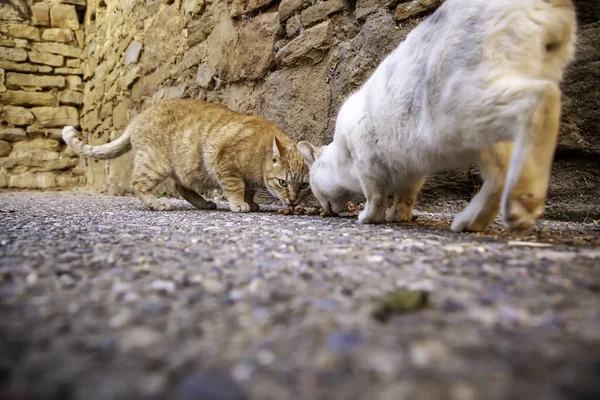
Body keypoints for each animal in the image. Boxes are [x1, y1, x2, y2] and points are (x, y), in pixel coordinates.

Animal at [63, 99, 312, 212]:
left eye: (303, 186)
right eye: (283, 182)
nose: (292, 201)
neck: (260, 155)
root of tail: (137, 118)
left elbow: (249, 190)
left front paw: (250, 202)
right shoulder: (227, 167)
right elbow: (236, 188)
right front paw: (240, 204)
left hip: (188, 168)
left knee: (181, 187)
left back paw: (203, 203)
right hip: (156, 164)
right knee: (138, 184)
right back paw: (156, 204)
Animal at [300, 0, 576, 231]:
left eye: (311, 185)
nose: (323, 208)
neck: (341, 159)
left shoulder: (367, 162)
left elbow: (375, 196)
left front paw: (370, 217)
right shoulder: (410, 169)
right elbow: (405, 195)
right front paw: (398, 215)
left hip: (458, 111)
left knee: (541, 100)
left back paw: (523, 203)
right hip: (483, 138)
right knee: (500, 177)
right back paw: (470, 222)